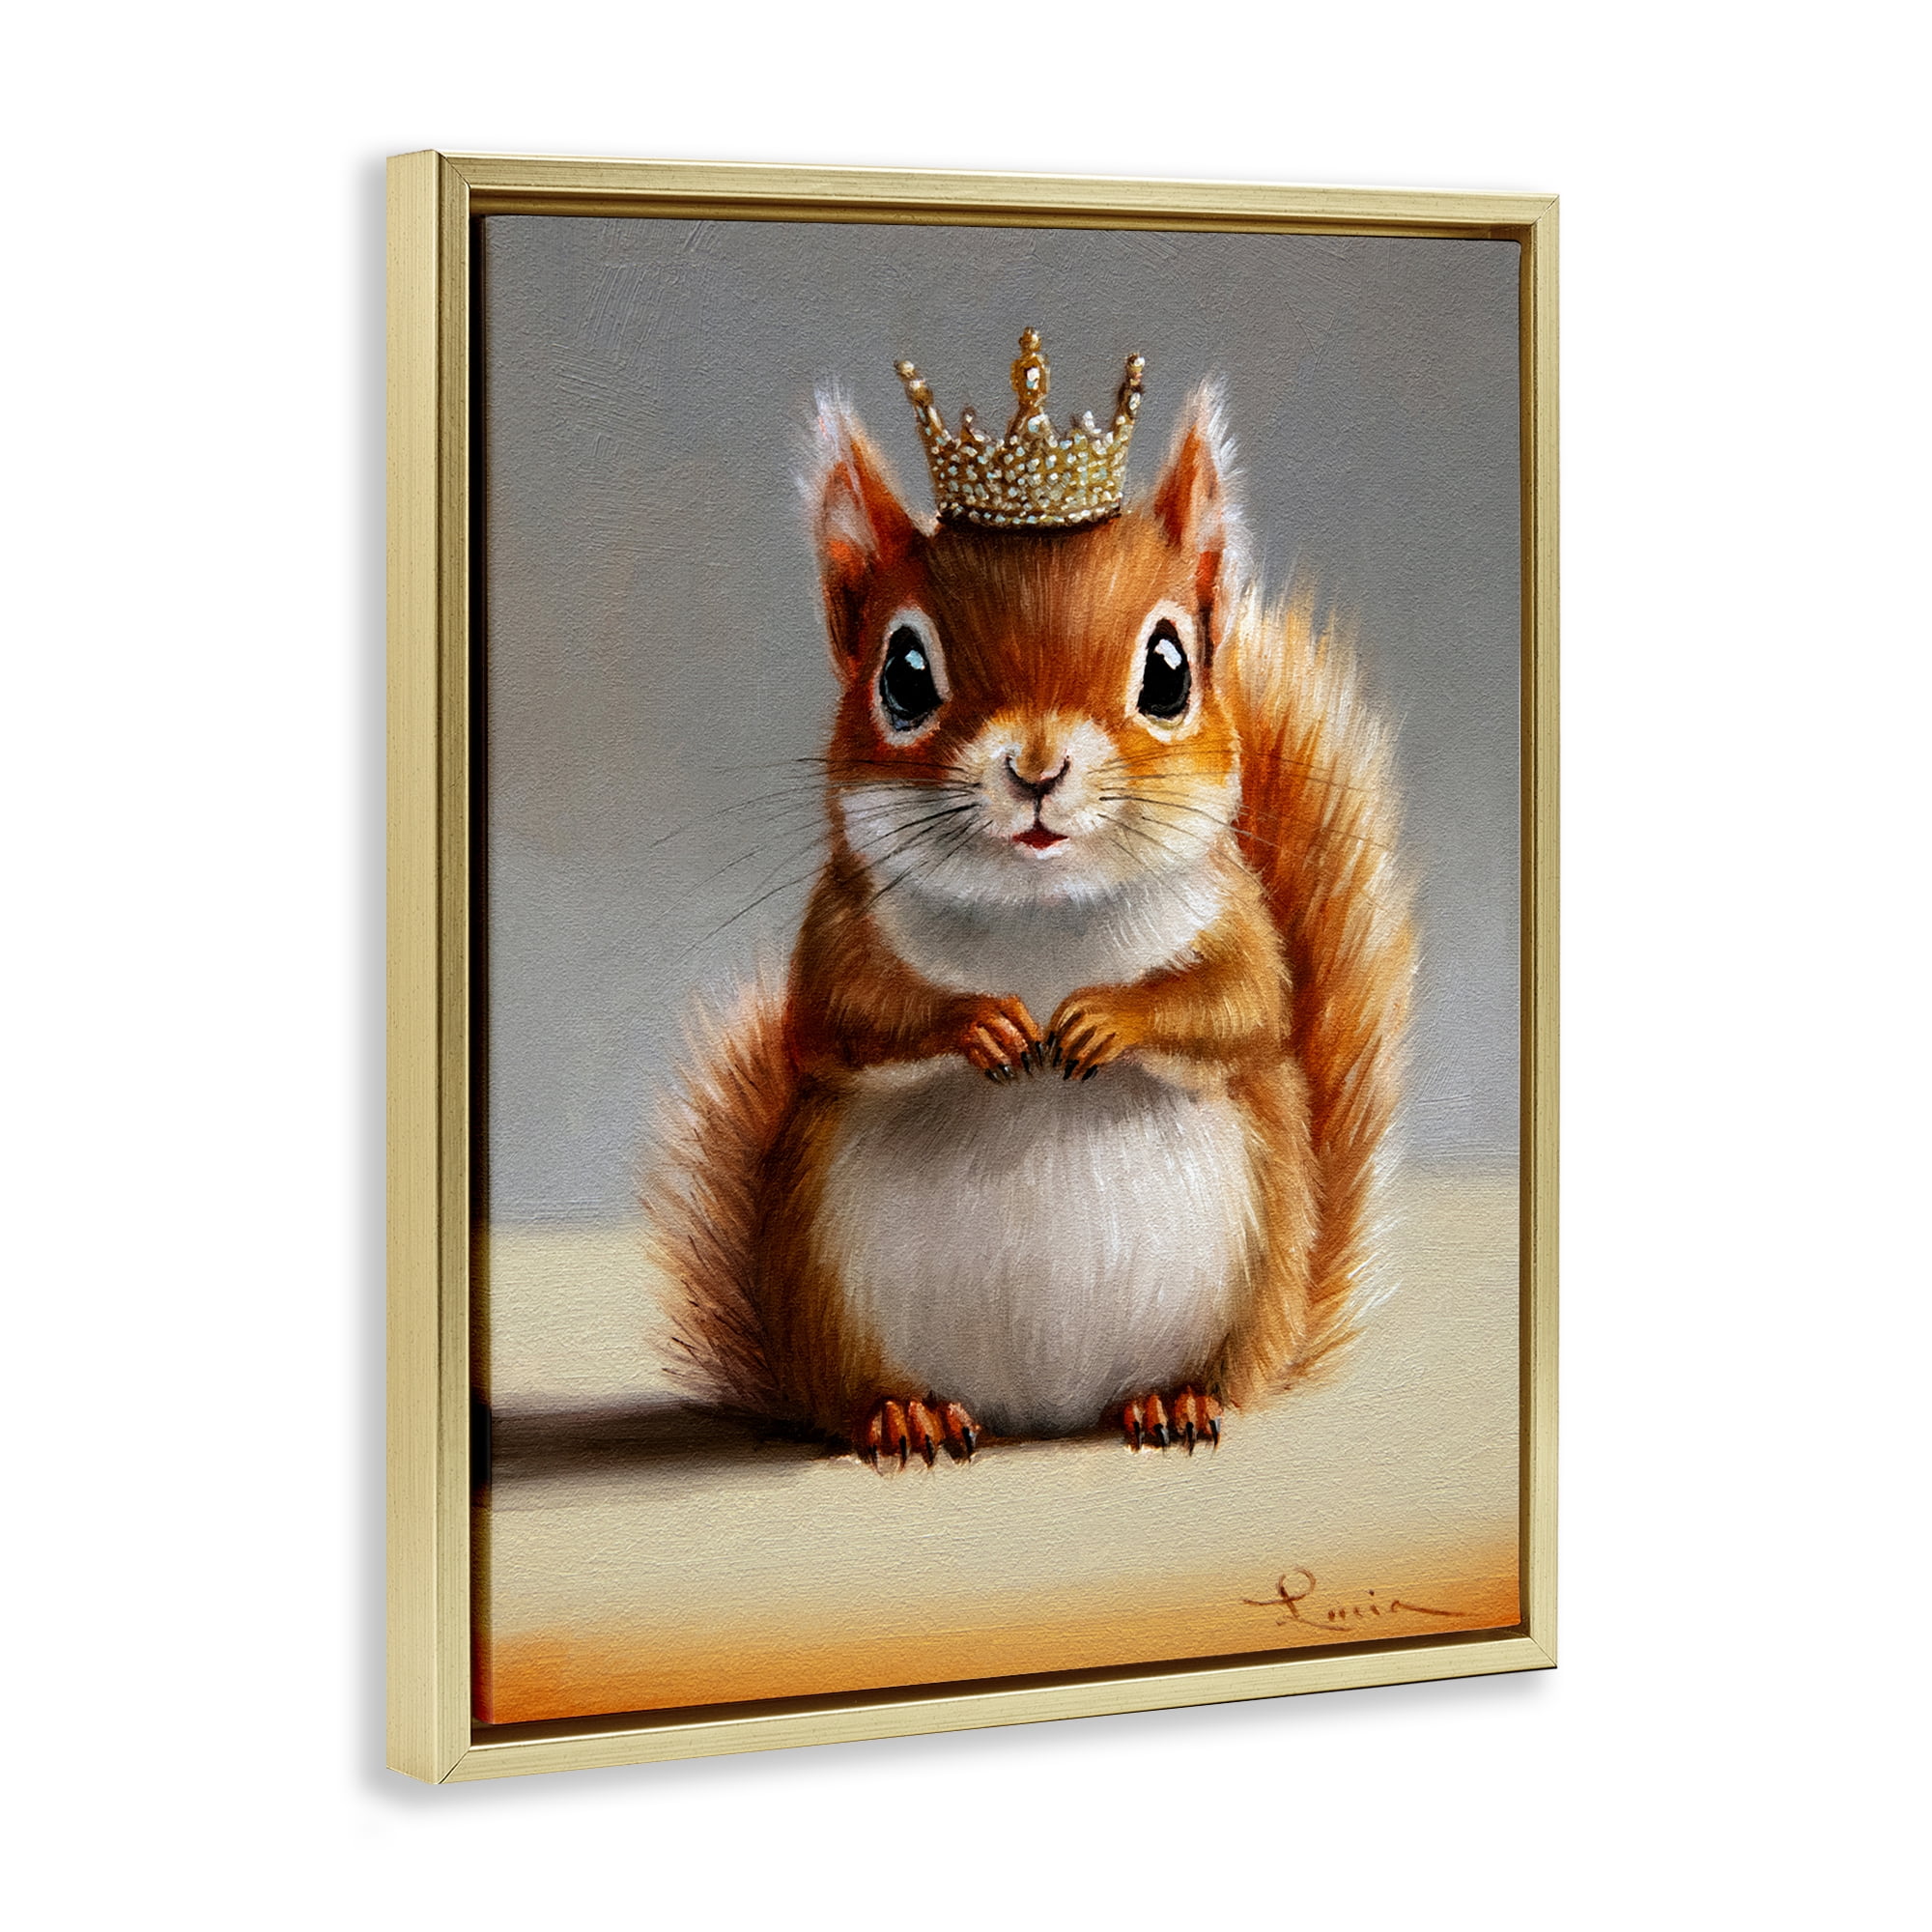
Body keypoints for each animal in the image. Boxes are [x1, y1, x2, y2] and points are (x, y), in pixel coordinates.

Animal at [644, 333, 1414, 1467]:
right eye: (902, 673)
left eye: (1170, 669)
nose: (1037, 768)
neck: (1041, 918)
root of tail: (1037, 1413)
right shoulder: (837, 930)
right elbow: (837, 1016)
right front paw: (982, 1022)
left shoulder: (1237, 920)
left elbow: (1239, 1005)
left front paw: (1104, 1019)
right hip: (827, 1294)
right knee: (859, 1397)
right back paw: (906, 1413)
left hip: (1250, 1280)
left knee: (1217, 1377)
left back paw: (1174, 1400)